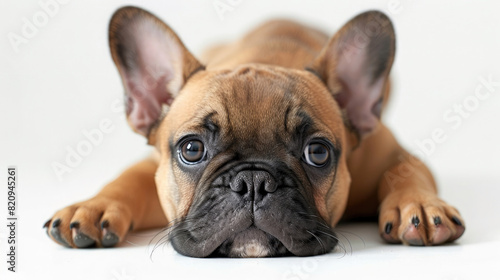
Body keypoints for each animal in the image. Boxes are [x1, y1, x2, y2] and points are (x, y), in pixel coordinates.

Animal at [45, 5, 466, 258]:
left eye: (318, 152)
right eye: (192, 149)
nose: (252, 182)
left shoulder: (391, 153)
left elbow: (406, 170)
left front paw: (421, 208)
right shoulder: (152, 166)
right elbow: (129, 179)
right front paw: (94, 206)